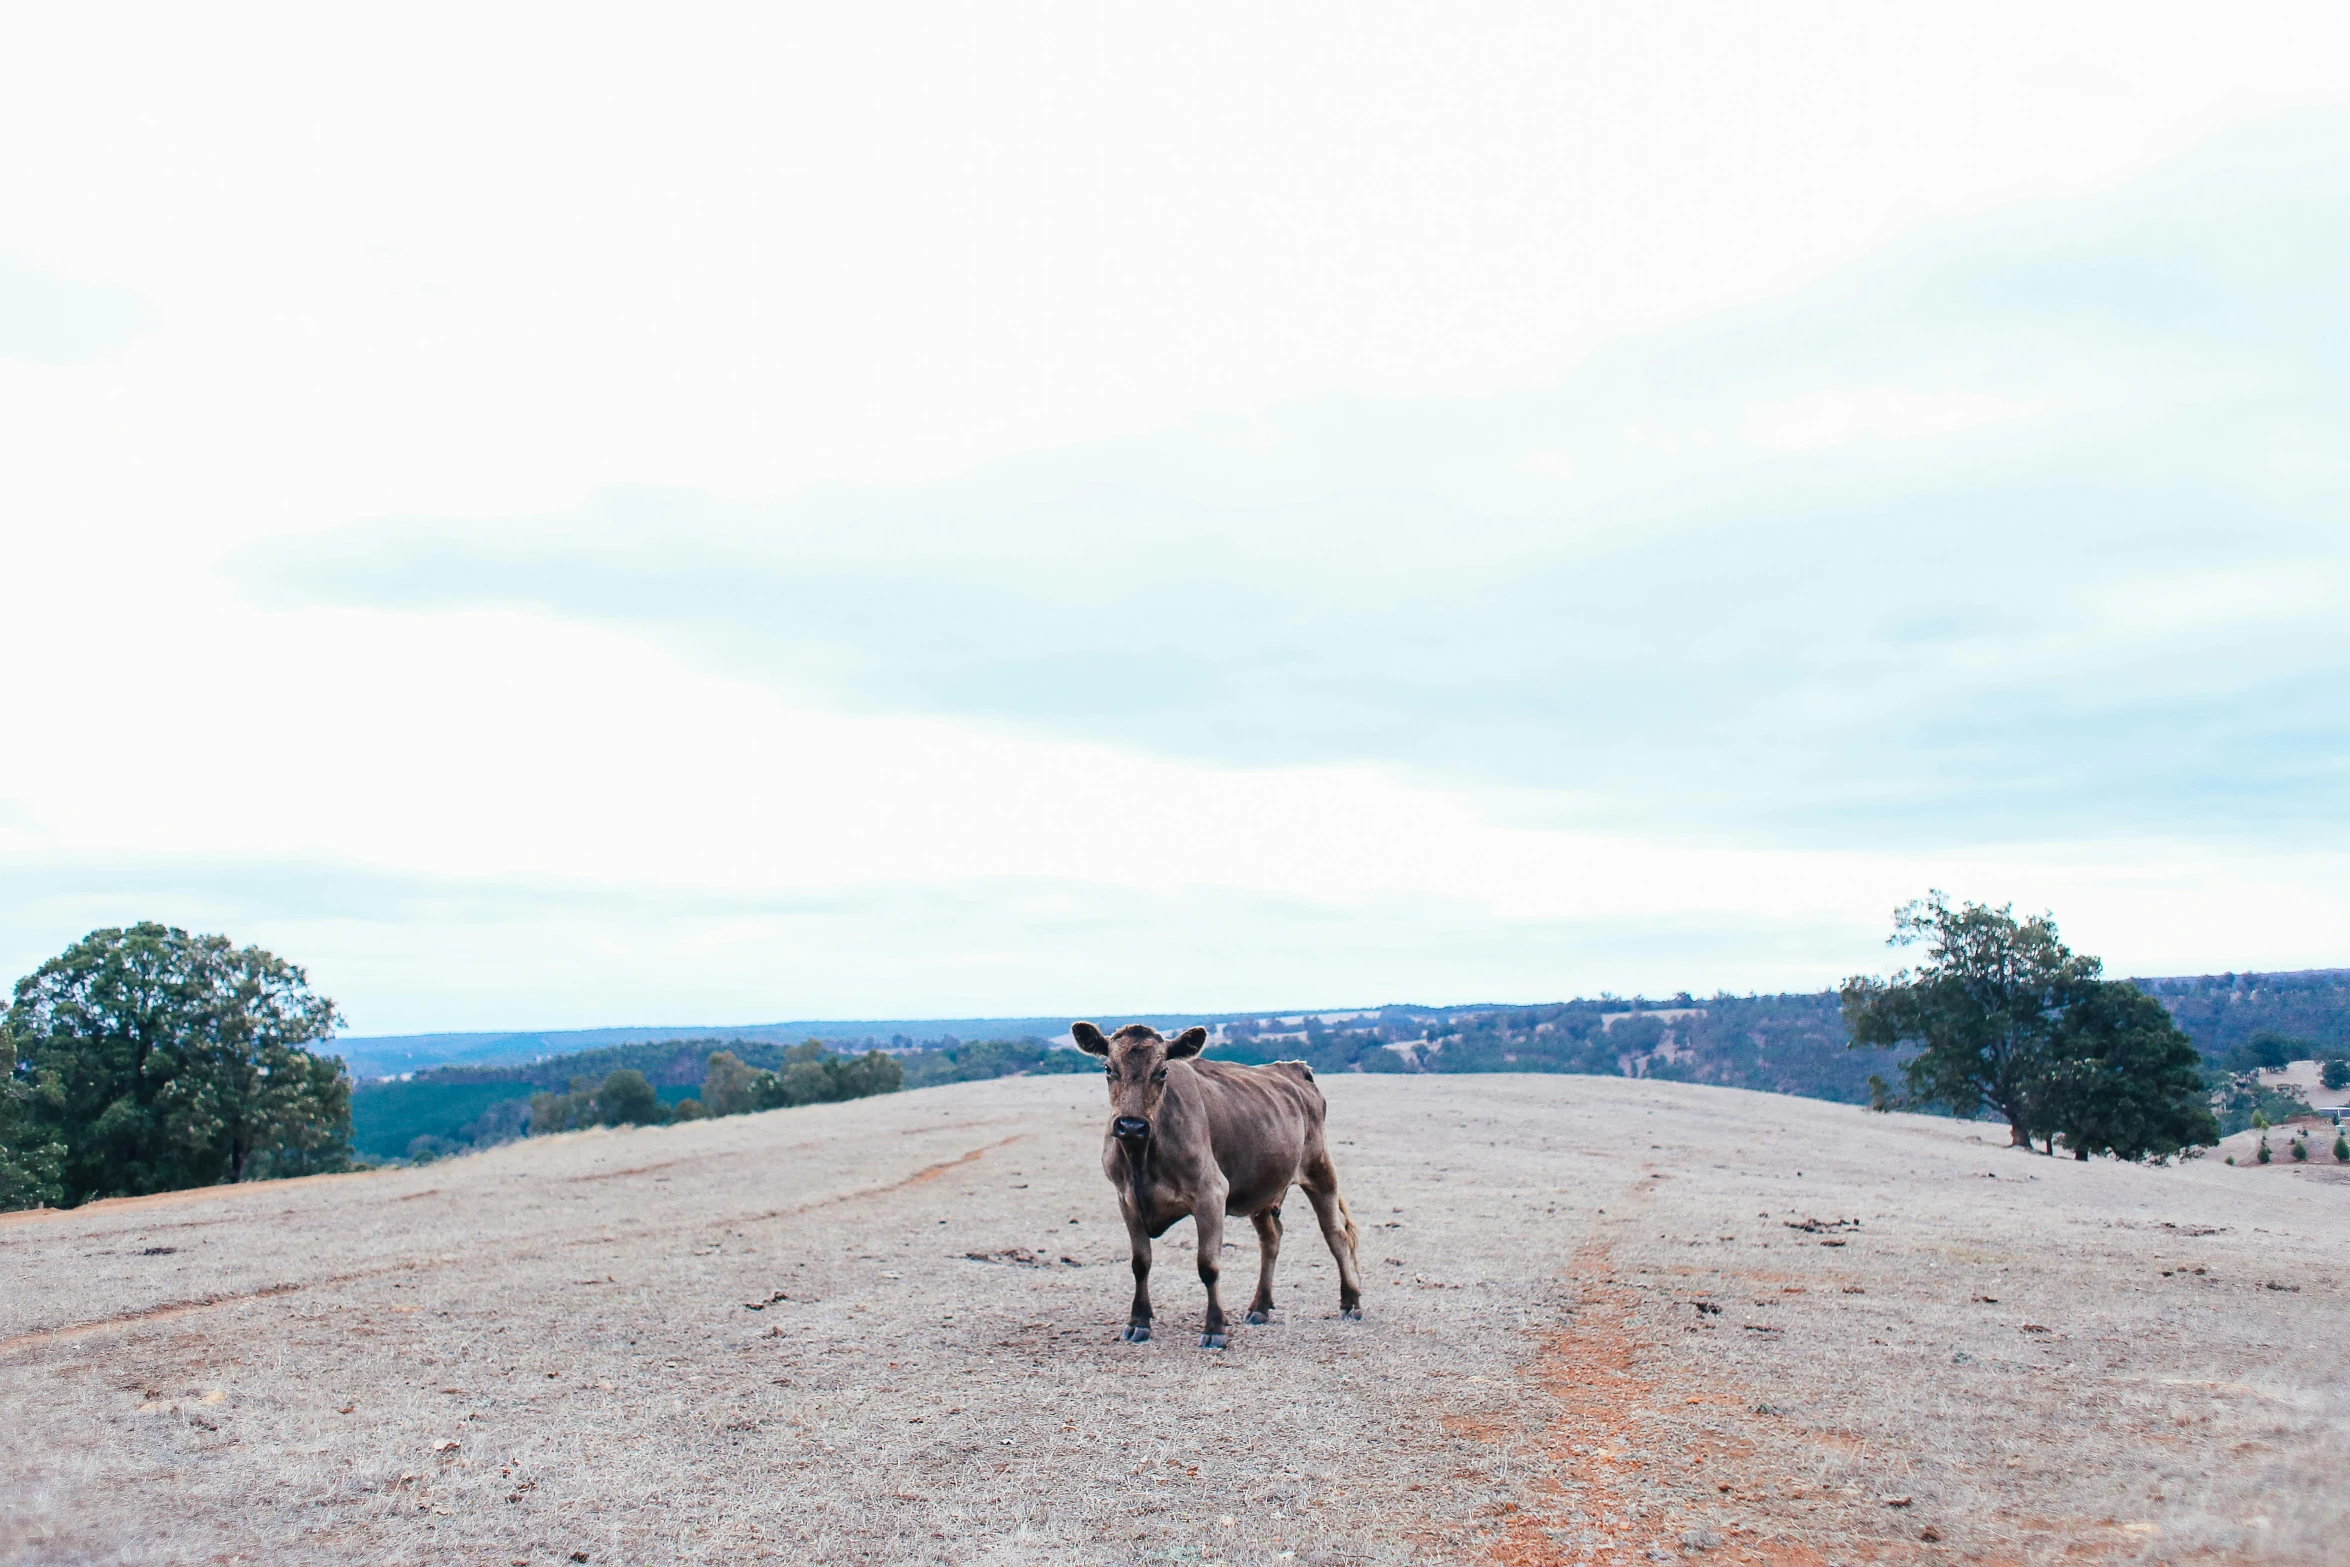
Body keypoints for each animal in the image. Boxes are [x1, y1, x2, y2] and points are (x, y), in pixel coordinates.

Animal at [1076, 1029, 1372, 1353]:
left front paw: (1215, 1327)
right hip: (1262, 1187)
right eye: (1108, 1068)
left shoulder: (1211, 1194)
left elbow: (1208, 1265)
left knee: (1336, 1236)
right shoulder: (1127, 1200)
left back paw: (1350, 1302)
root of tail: (1294, 1068)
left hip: (1321, 1174)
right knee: (1271, 1239)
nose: (1131, 1126)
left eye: (1163, 1071)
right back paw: (1260, 1306)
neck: (1142, 1157)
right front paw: (1138, 1322)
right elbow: (1140, 1263)